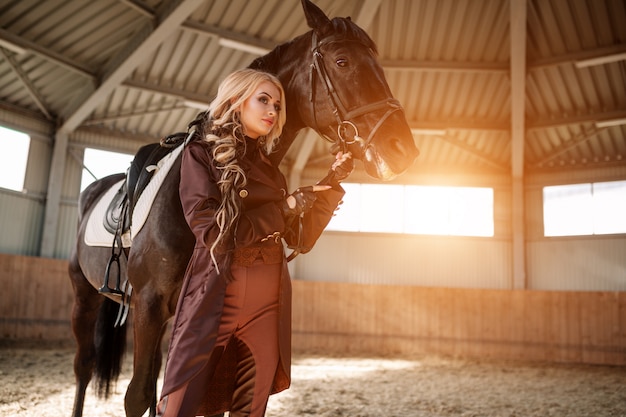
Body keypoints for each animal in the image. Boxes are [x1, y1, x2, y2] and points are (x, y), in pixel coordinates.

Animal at [68, 1, 416, 414]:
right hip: (86, 295)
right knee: (85, 367)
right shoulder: (149, 306)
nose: (403, 150)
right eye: (342, 61)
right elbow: (137, 396)